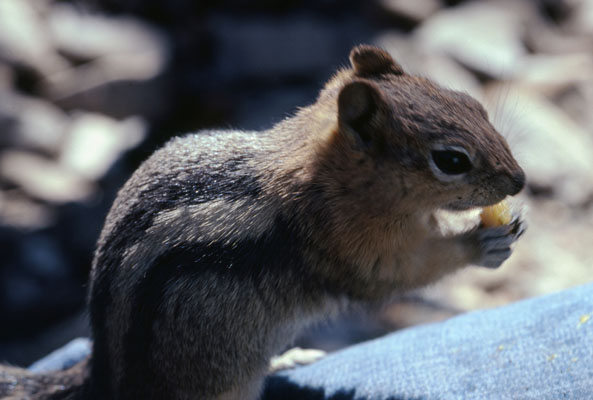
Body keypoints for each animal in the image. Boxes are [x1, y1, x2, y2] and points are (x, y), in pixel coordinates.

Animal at [2, 44, 524, 400]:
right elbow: (404, 271)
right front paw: (482, 243)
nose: (519, 181)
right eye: (451, 160)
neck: (333, 178)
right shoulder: (354, 244)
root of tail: (103, 378)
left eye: (472, 104)